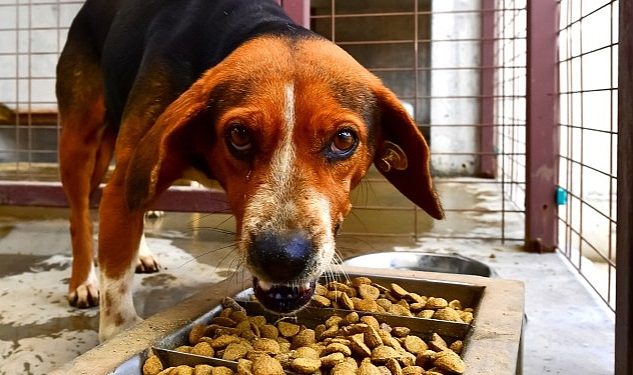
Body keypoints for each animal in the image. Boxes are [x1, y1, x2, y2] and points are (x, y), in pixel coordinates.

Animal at [56, 0, 442, 344]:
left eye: (344, 139)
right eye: (239, 135)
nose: (283, 259)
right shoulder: (124, 185)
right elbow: (117, 313)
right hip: (81, 144)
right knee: (79, 215)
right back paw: (83, 282)